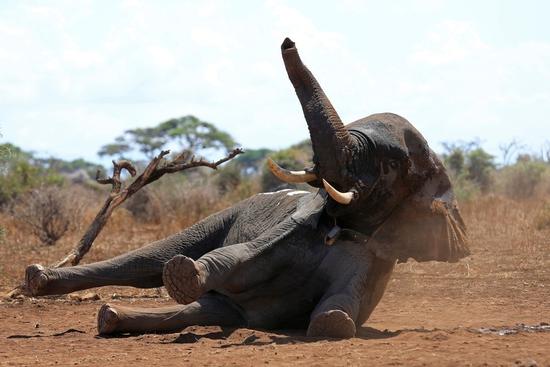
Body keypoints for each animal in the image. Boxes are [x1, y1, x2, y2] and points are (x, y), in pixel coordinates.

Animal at [22, 38, 470, 340]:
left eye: (390, 164)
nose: (288, 41)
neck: (340, 223)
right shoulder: (297, 222)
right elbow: (236, 255)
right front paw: (184, 272)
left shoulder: (374, 253)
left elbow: (338, 314)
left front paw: (330, 320)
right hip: (229, 213)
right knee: (146, 262)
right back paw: (38, 279)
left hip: (228, 310)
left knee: (199, 310)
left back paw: (111, 317)